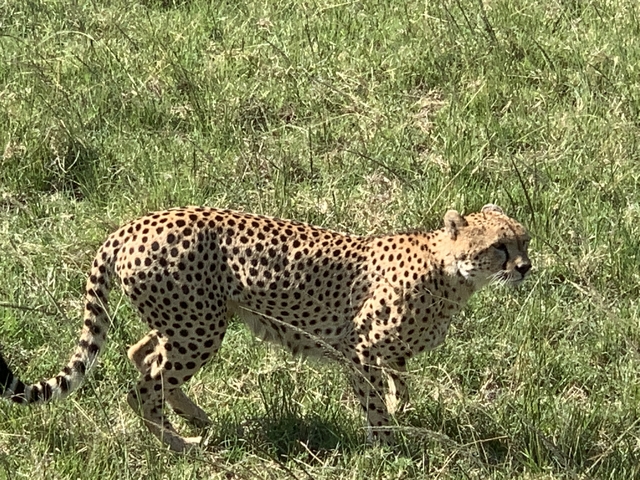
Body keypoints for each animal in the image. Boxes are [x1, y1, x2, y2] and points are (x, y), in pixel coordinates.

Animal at [0, 204, 531, 452]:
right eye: (499, 247)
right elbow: (375, 402)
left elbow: (400, 381)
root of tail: (134, 225)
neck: (451, 272)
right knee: (145, 385)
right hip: (197, 327)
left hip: (192, 320)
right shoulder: (357, 347)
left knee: (141, 353)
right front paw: (388, 445)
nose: (526, 267)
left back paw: (196, 419)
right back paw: (182, 446)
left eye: (524, 240)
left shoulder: (387, 352)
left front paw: (403, 414)